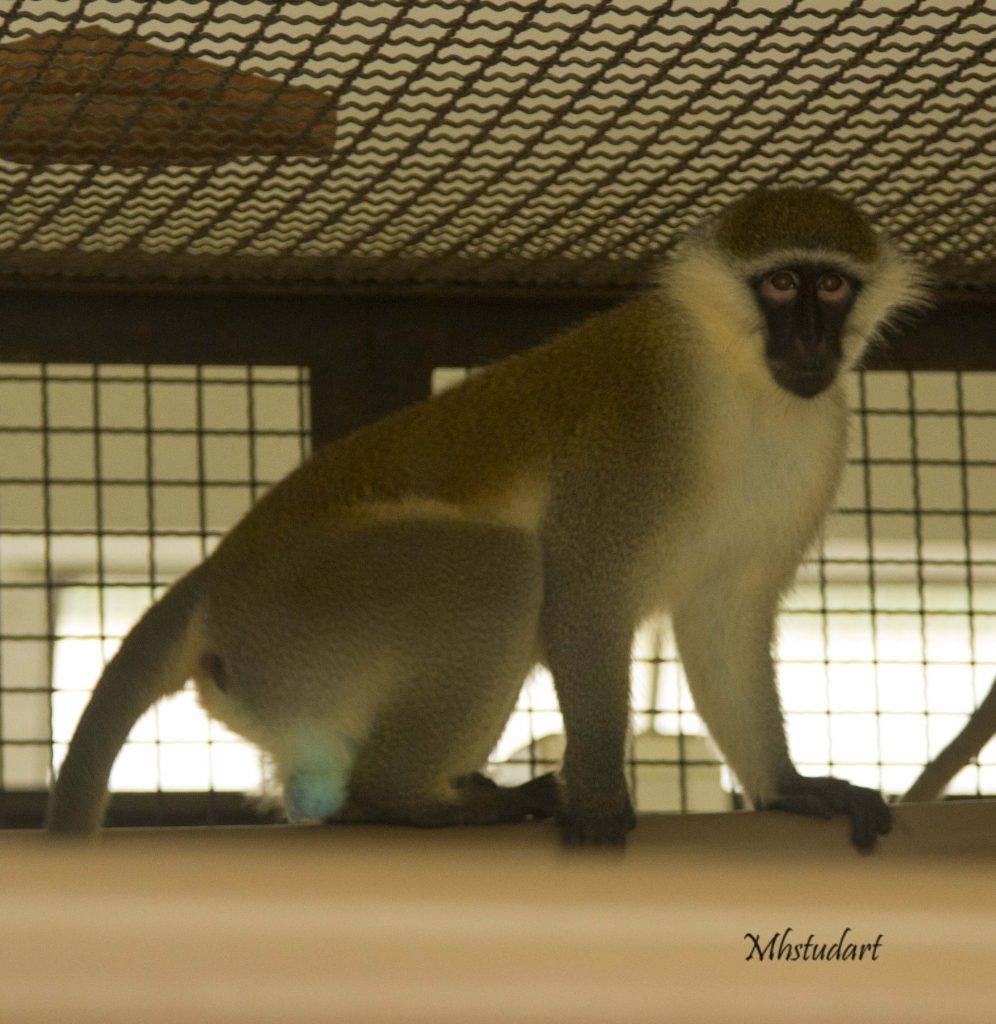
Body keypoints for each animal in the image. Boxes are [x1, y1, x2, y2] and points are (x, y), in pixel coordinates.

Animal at [48, 186, 925, 847]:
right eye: (781, 285)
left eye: (832, 286)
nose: (811, 337)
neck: (742, 383)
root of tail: (219, 577)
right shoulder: (644, 428)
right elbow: (583, 589)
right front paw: (598, 798)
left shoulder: (817, 442)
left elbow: (724, 618)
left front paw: (788, 788)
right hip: (300, 614)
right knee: (505, 570)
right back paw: (406, 801)